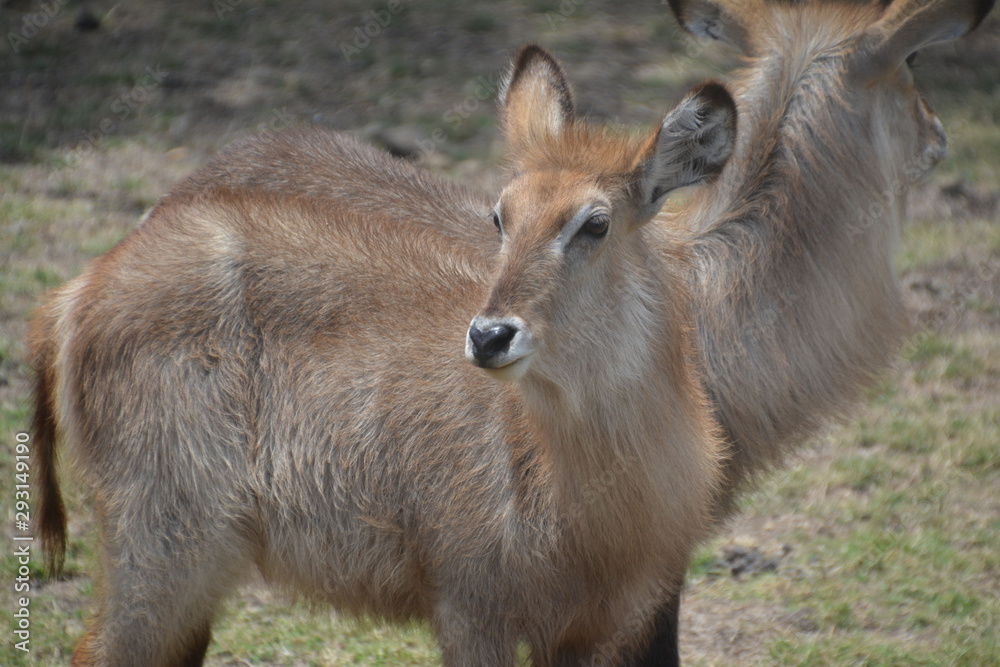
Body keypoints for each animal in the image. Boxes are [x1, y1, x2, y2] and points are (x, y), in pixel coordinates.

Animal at [31, 46, 736, 666]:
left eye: (596, 222)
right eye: (500, 216)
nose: (489, 336)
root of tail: (74, 294)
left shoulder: (597, 626)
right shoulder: (468, 608)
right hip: (162, 545)